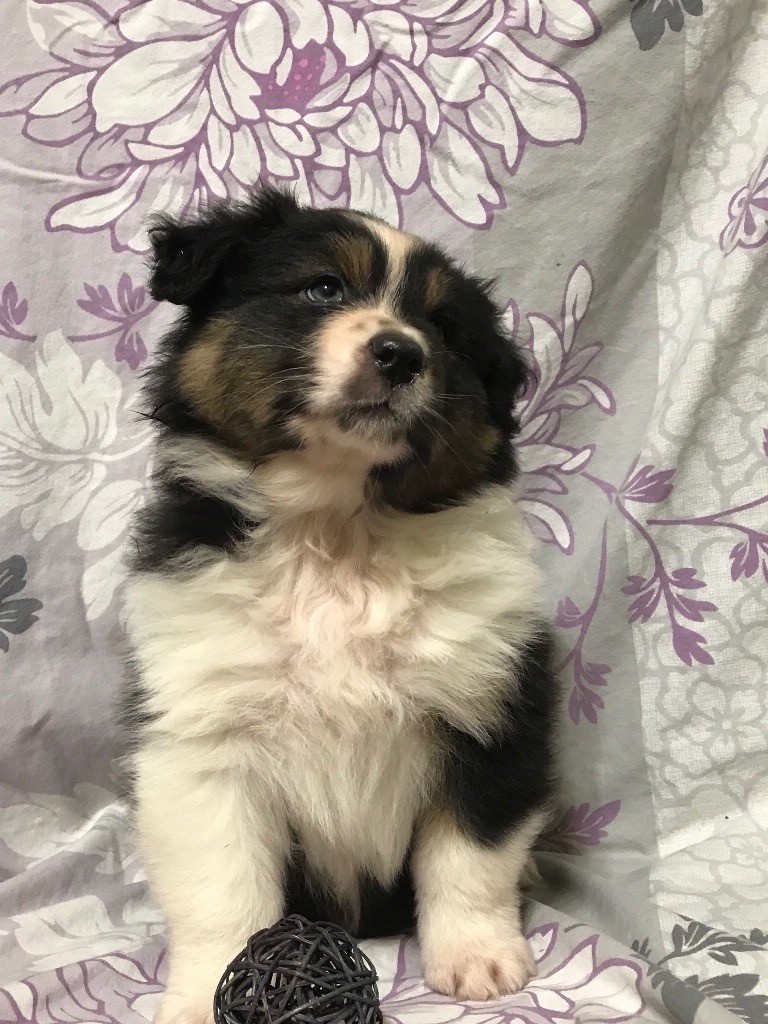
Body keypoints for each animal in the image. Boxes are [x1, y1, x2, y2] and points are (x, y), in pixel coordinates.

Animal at [122, 187, 557, 1024]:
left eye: (443, 328)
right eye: (323, 288)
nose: (401, 352)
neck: (333, 532)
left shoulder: (489, 709)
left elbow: (472, 855)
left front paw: (479, 959)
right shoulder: (203, 740)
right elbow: (222, 889)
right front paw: (204, 993)